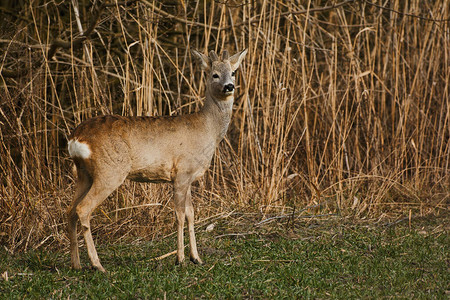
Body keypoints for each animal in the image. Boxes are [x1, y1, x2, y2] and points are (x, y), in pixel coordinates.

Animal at [68, 48, 248, 272]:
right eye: (214, 74)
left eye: (233, 72)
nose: (229, 86)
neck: (208, 129)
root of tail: (76, 137)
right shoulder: (181, 172)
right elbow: (179, 215)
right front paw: (180, 259)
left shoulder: (189, 177)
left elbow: (191, 213)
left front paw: (196, 258)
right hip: (109, 171)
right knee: (83, 208)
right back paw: (97, 264)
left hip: (83, 173)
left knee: (70, 211)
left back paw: (76, 264)